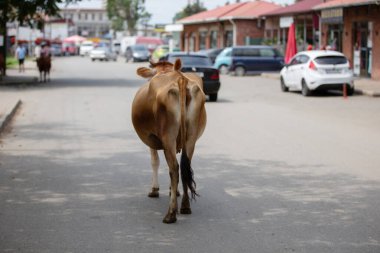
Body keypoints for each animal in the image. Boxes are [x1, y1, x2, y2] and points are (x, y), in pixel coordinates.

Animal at [132, 59, 206, 223]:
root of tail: (181, 79)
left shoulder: (152, 138)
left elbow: (155, 162)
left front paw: (155, 190)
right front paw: (174, 191)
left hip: (168, 137)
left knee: (174, 168)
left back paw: (171, 213)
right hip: (191, 137)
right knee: (185, 166)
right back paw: (185, 206)